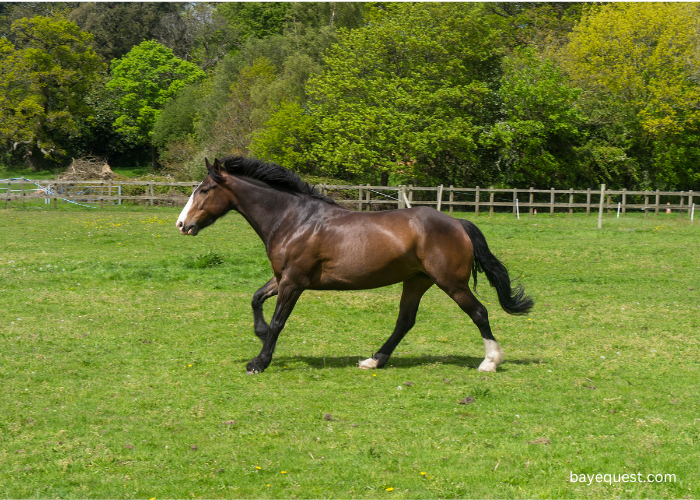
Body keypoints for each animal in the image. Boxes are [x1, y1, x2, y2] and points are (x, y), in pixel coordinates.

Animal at [178, 158, 532, 374]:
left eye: (204, 190)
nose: (182, 225)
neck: (294, 219)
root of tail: (458, 222)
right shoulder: (283, 278)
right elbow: (255, 299)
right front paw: (260, 334)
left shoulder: (293, 281)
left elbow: (279, 321)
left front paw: (259, 361)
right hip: (417, 281)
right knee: (405, 321)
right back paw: (373, 361)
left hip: (451, 283)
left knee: (479, 312)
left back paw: (490, 362)